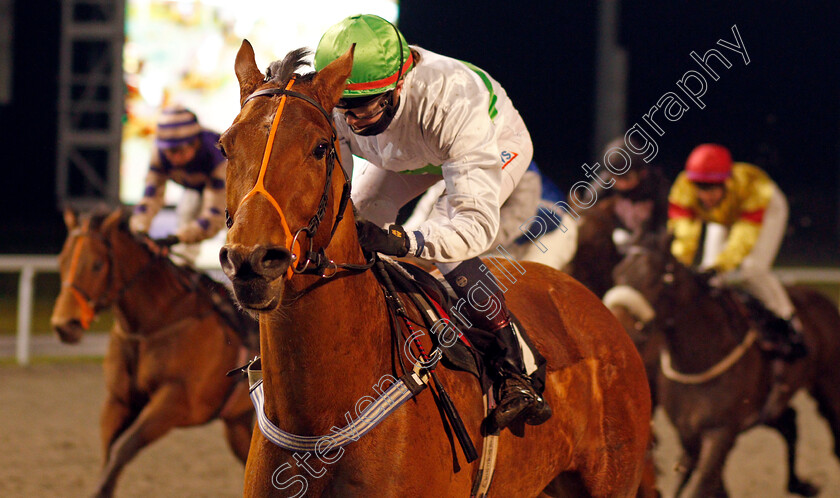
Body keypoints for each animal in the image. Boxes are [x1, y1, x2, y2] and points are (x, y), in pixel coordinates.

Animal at [51, 208, 256, 496]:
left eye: (97, 265)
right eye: (62, 260)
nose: (64, 325)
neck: (156, 324)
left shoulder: (177, 401)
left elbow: (123, 448)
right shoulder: (118, 400)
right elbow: (108, 452)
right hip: (237, 421)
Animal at [220, 40, 652, 496]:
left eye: (320, 147)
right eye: (226, 146)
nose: (252, 259)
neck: (320, 422)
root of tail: (598, 307)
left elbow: (471, 222)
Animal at [608, 233, 840, 498]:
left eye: (662, 278)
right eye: (618, 274)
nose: (619, 328)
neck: (699, 359)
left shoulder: (720, 432)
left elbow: (701, 485)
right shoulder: (688, 432)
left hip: (829, 385)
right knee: (789, 421)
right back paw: (800, 484)